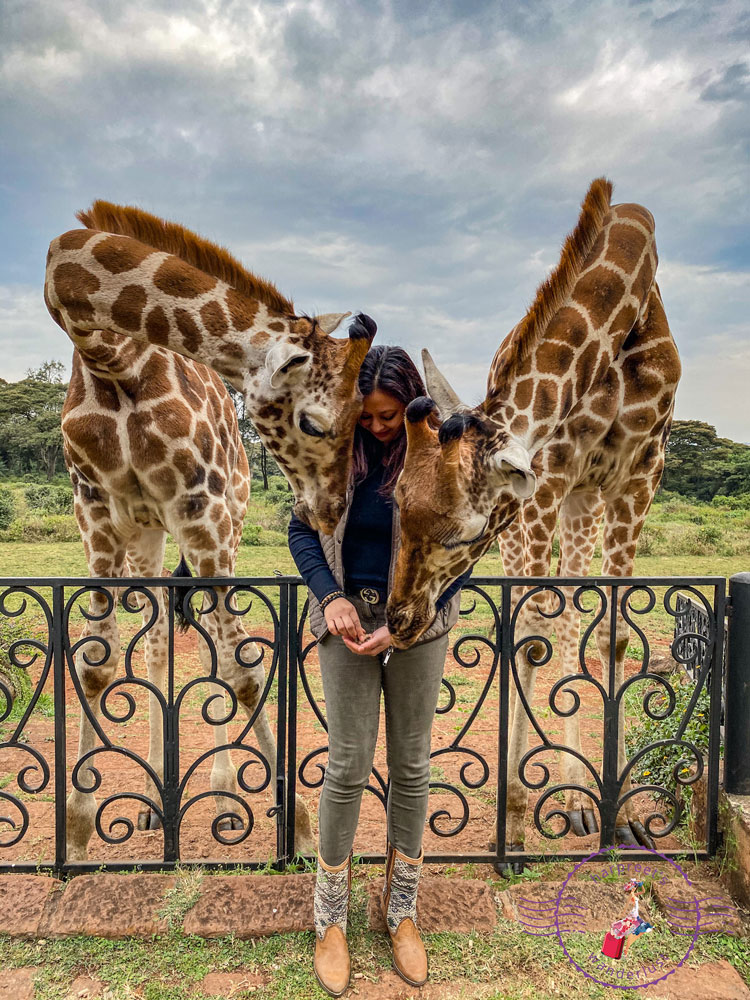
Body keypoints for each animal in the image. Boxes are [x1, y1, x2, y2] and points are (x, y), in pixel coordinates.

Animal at [42, 203, 374, 860]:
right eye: (314, 423)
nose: (332, 509)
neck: (108, 353)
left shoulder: (203, 506)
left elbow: (241, 668)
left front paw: (299, 822)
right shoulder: (95, 511)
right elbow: (96, 663)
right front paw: (78, 826)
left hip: (228, 519)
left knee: (215, 648)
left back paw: (221, 794)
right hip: (149, 536)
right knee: (159, 642)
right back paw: (154, 800)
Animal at [384, 178, 684, 852]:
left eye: (458, 532)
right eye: (394, 503)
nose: (398, 619)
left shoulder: (640, 471)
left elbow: (611, 632)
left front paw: (624, 814)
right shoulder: (547, 472)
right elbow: (535, 631)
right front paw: (527, 821)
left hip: (583, 500)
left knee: (568, 618)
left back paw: (577, 804)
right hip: (545, 513)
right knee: (539, 618)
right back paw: (547, 803)